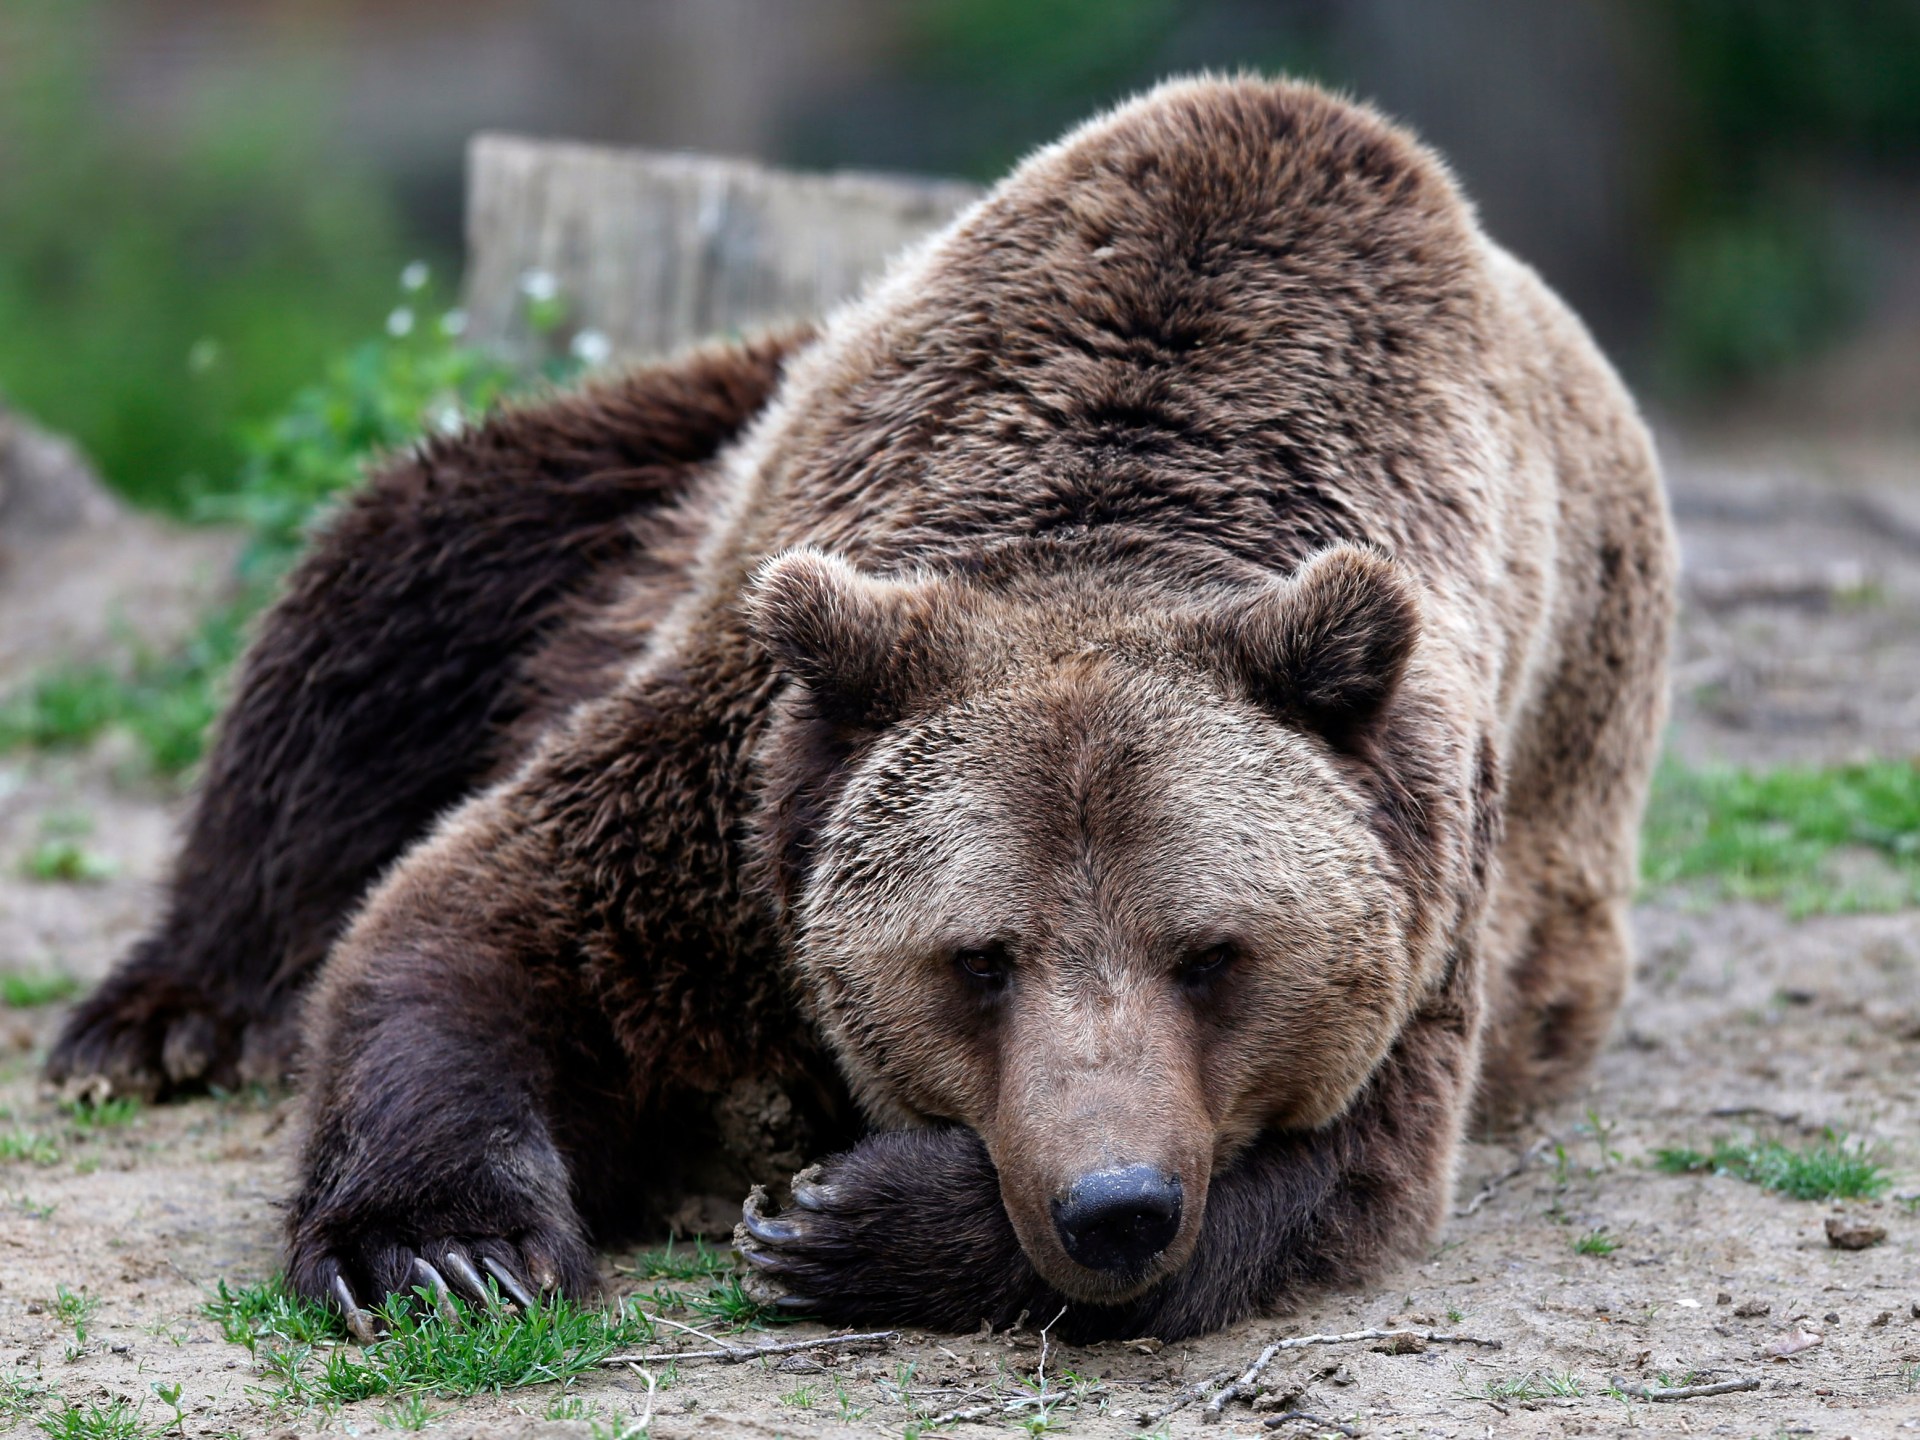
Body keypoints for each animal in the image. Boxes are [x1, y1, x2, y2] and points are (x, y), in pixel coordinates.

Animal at [47, 76, 1674, 1343]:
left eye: (1215, 954)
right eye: (980, 958)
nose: (1116, 1204)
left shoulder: (1443, 861)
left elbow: (1343, 1172)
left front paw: (845, 1216)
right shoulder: (746, 771)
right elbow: (476, 926)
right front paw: (444, 1253)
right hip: (646, 471)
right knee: (378, 616)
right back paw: (168, 1017)